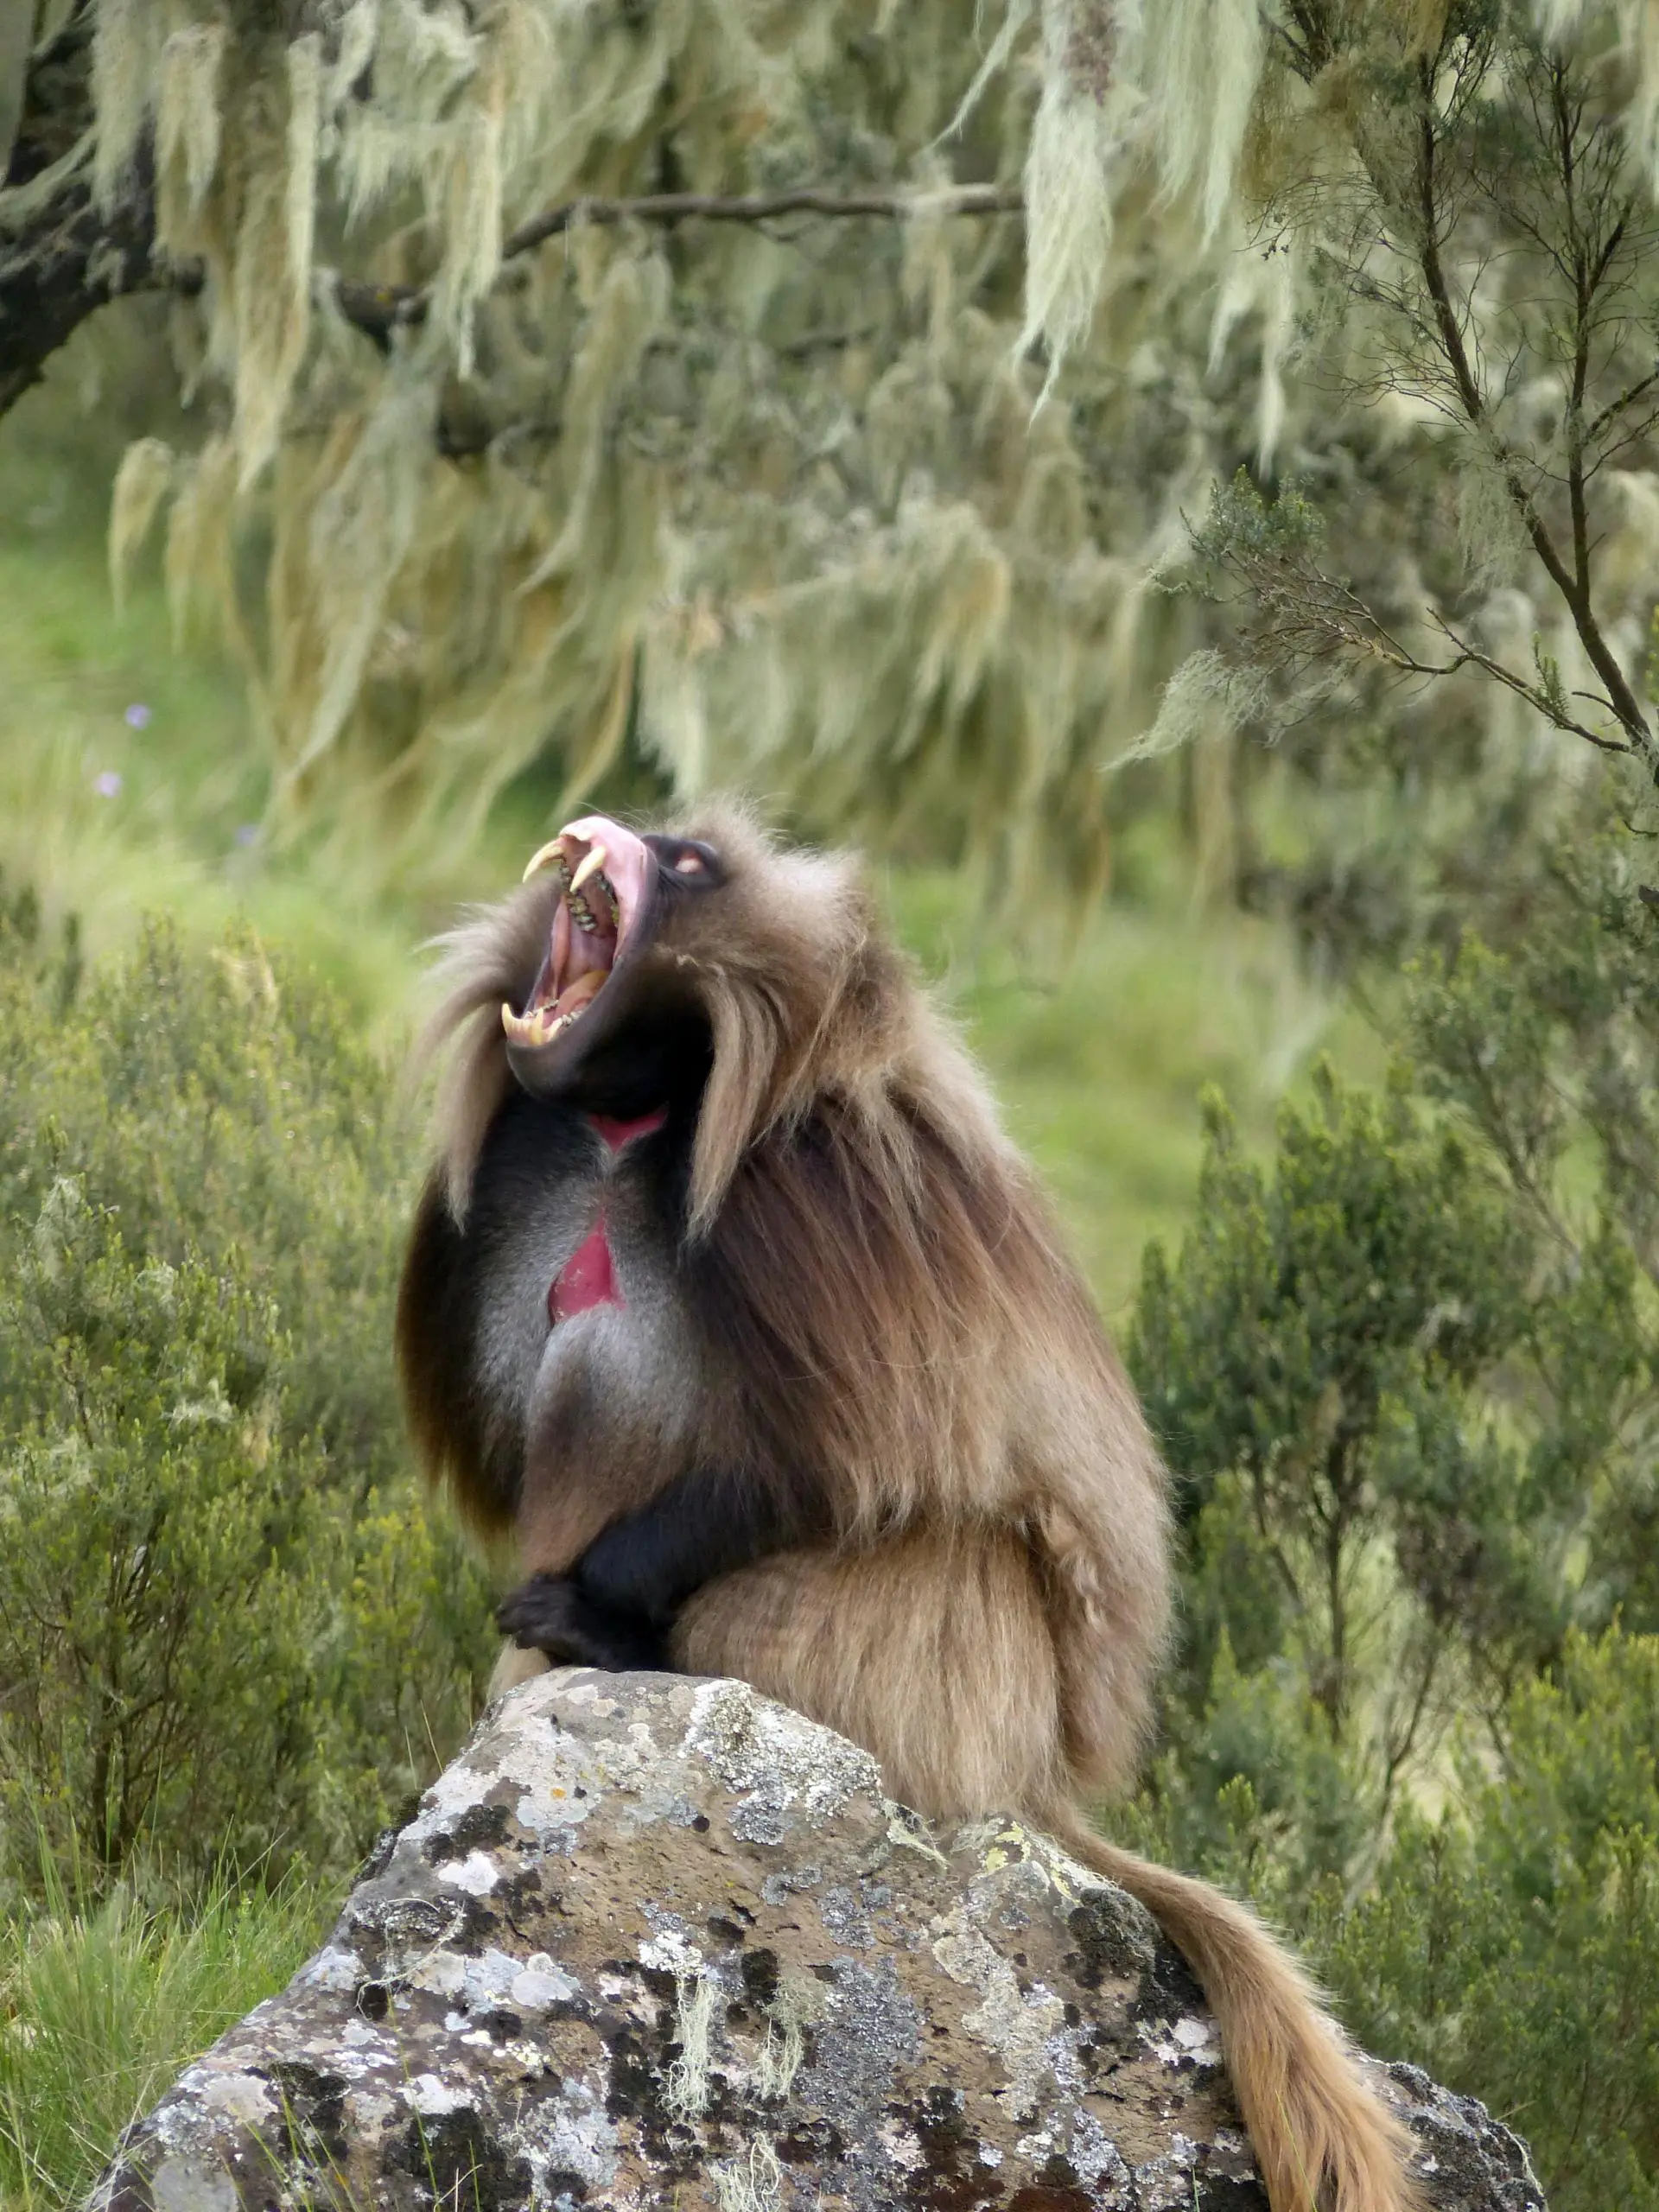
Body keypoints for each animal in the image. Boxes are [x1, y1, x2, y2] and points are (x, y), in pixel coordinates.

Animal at [396, 804, 1419, 2212]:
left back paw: (613, 1647)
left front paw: (586, 1607)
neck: (634, 1127)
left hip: (927, 1670)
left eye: (692, 861)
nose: (609, 826)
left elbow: (857, 1465)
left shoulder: (807, 1195)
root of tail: (1033, 1783)